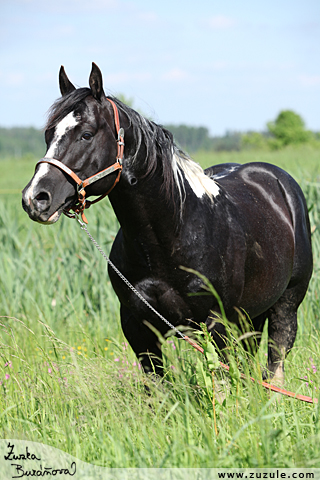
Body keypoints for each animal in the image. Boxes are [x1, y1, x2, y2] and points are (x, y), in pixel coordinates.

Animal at [21, 63, 312, 384]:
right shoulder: (138, 327)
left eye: (86, 134)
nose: (36, 198)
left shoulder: (218, 324)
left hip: (286, 304)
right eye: (49, 134)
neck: (170, 237)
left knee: (276, 360)